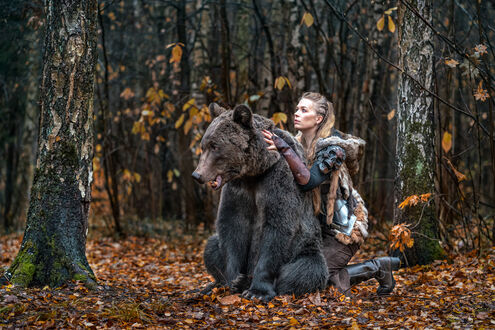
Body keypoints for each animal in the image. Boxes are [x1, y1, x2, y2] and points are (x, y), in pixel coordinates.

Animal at [194, 103, 330, 302]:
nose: (197, 175)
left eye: (215, 146)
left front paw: (256, 291)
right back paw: (213, 285)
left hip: (305, 248)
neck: (254, 172)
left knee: (305, 270)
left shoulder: (277, 179)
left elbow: (277, 227)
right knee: (211, 247)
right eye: (203, 145)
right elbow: (232, 225)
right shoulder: (238, 189)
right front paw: (234, 279)